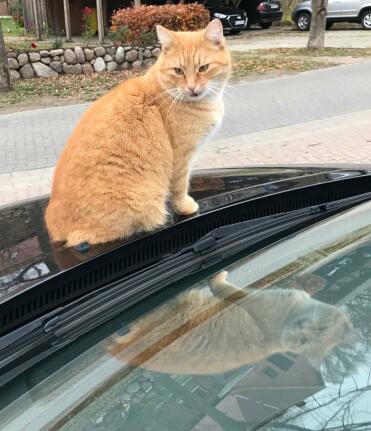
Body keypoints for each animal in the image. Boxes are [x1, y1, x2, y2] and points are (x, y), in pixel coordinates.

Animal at [44, 19, 230, 246]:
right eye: (178, 71)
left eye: (203, 68)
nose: (192, 88)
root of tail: (54, 228)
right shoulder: (181, 158)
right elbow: (179, 187)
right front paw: (185, 207)